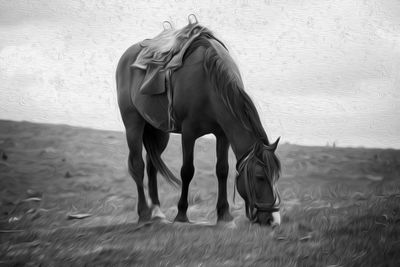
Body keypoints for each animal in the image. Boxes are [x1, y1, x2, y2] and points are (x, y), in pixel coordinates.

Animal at [114, 16, 280, 227]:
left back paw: (157, 213)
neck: (209, 84)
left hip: (159, 130)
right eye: (260, 177)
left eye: (276, 176)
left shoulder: (223, 135)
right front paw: (181, 214)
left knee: (152, 166)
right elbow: (187, 171)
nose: (273, 220)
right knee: (138, 165)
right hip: (133, 123)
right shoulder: (189, 133)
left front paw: (224, 215)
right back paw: (144, 214)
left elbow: (222, 170)